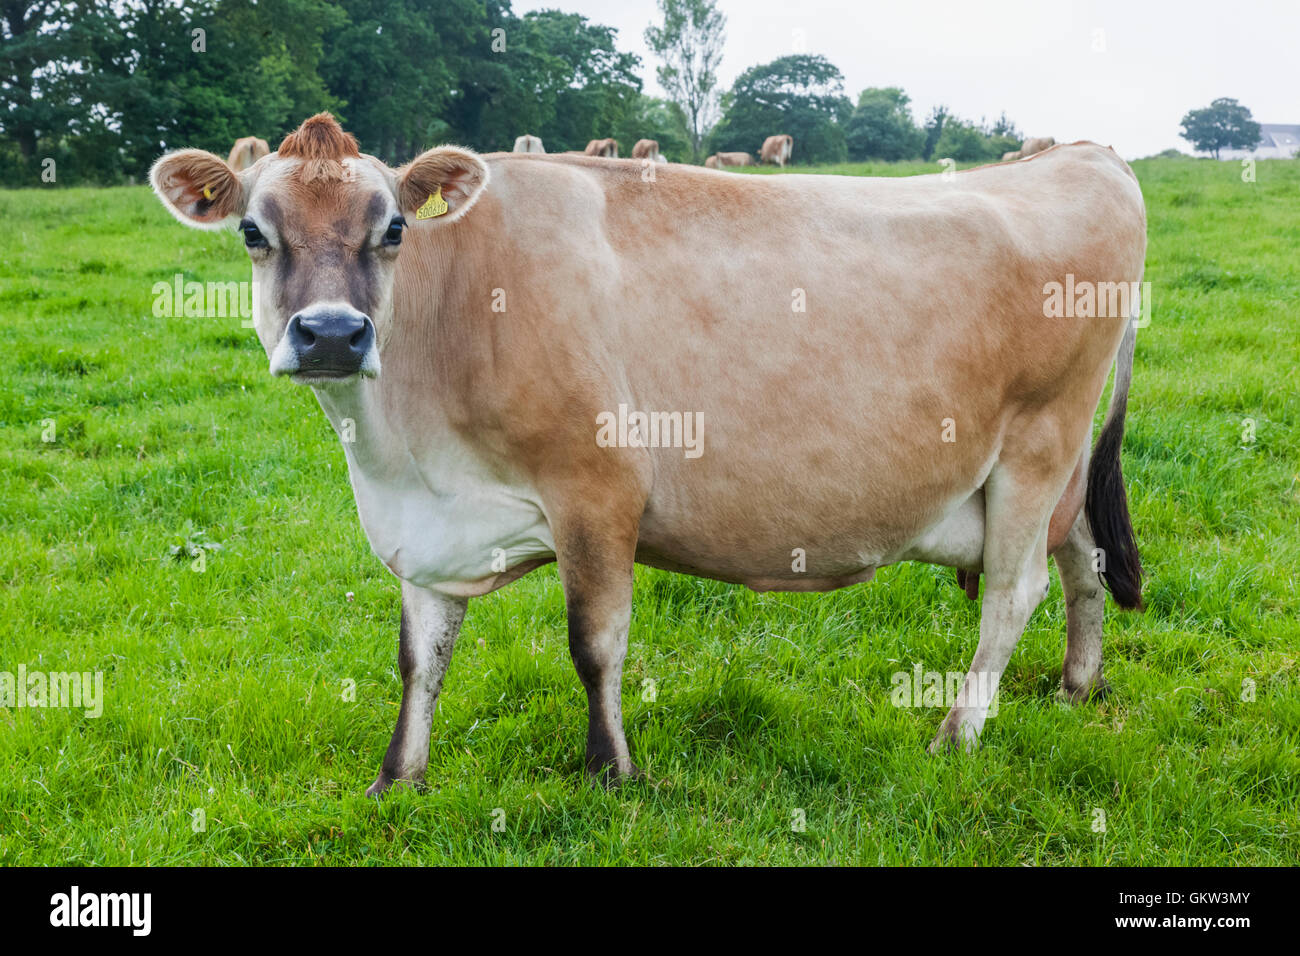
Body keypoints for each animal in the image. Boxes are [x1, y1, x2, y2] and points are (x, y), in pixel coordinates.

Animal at [150, 114, 1146, 794]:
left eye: (393, 228)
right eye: (252, 232)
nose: (331, 334)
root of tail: (1083, 153)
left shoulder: (597, 490)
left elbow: (595, 643)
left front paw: (612, 771)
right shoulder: (427, 528)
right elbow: (420, 657)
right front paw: (399, 778)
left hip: (1035, 446)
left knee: (1014, 592)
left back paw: (957, 733)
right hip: (1051, 473)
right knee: (1084, 558)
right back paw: (1076, 686)